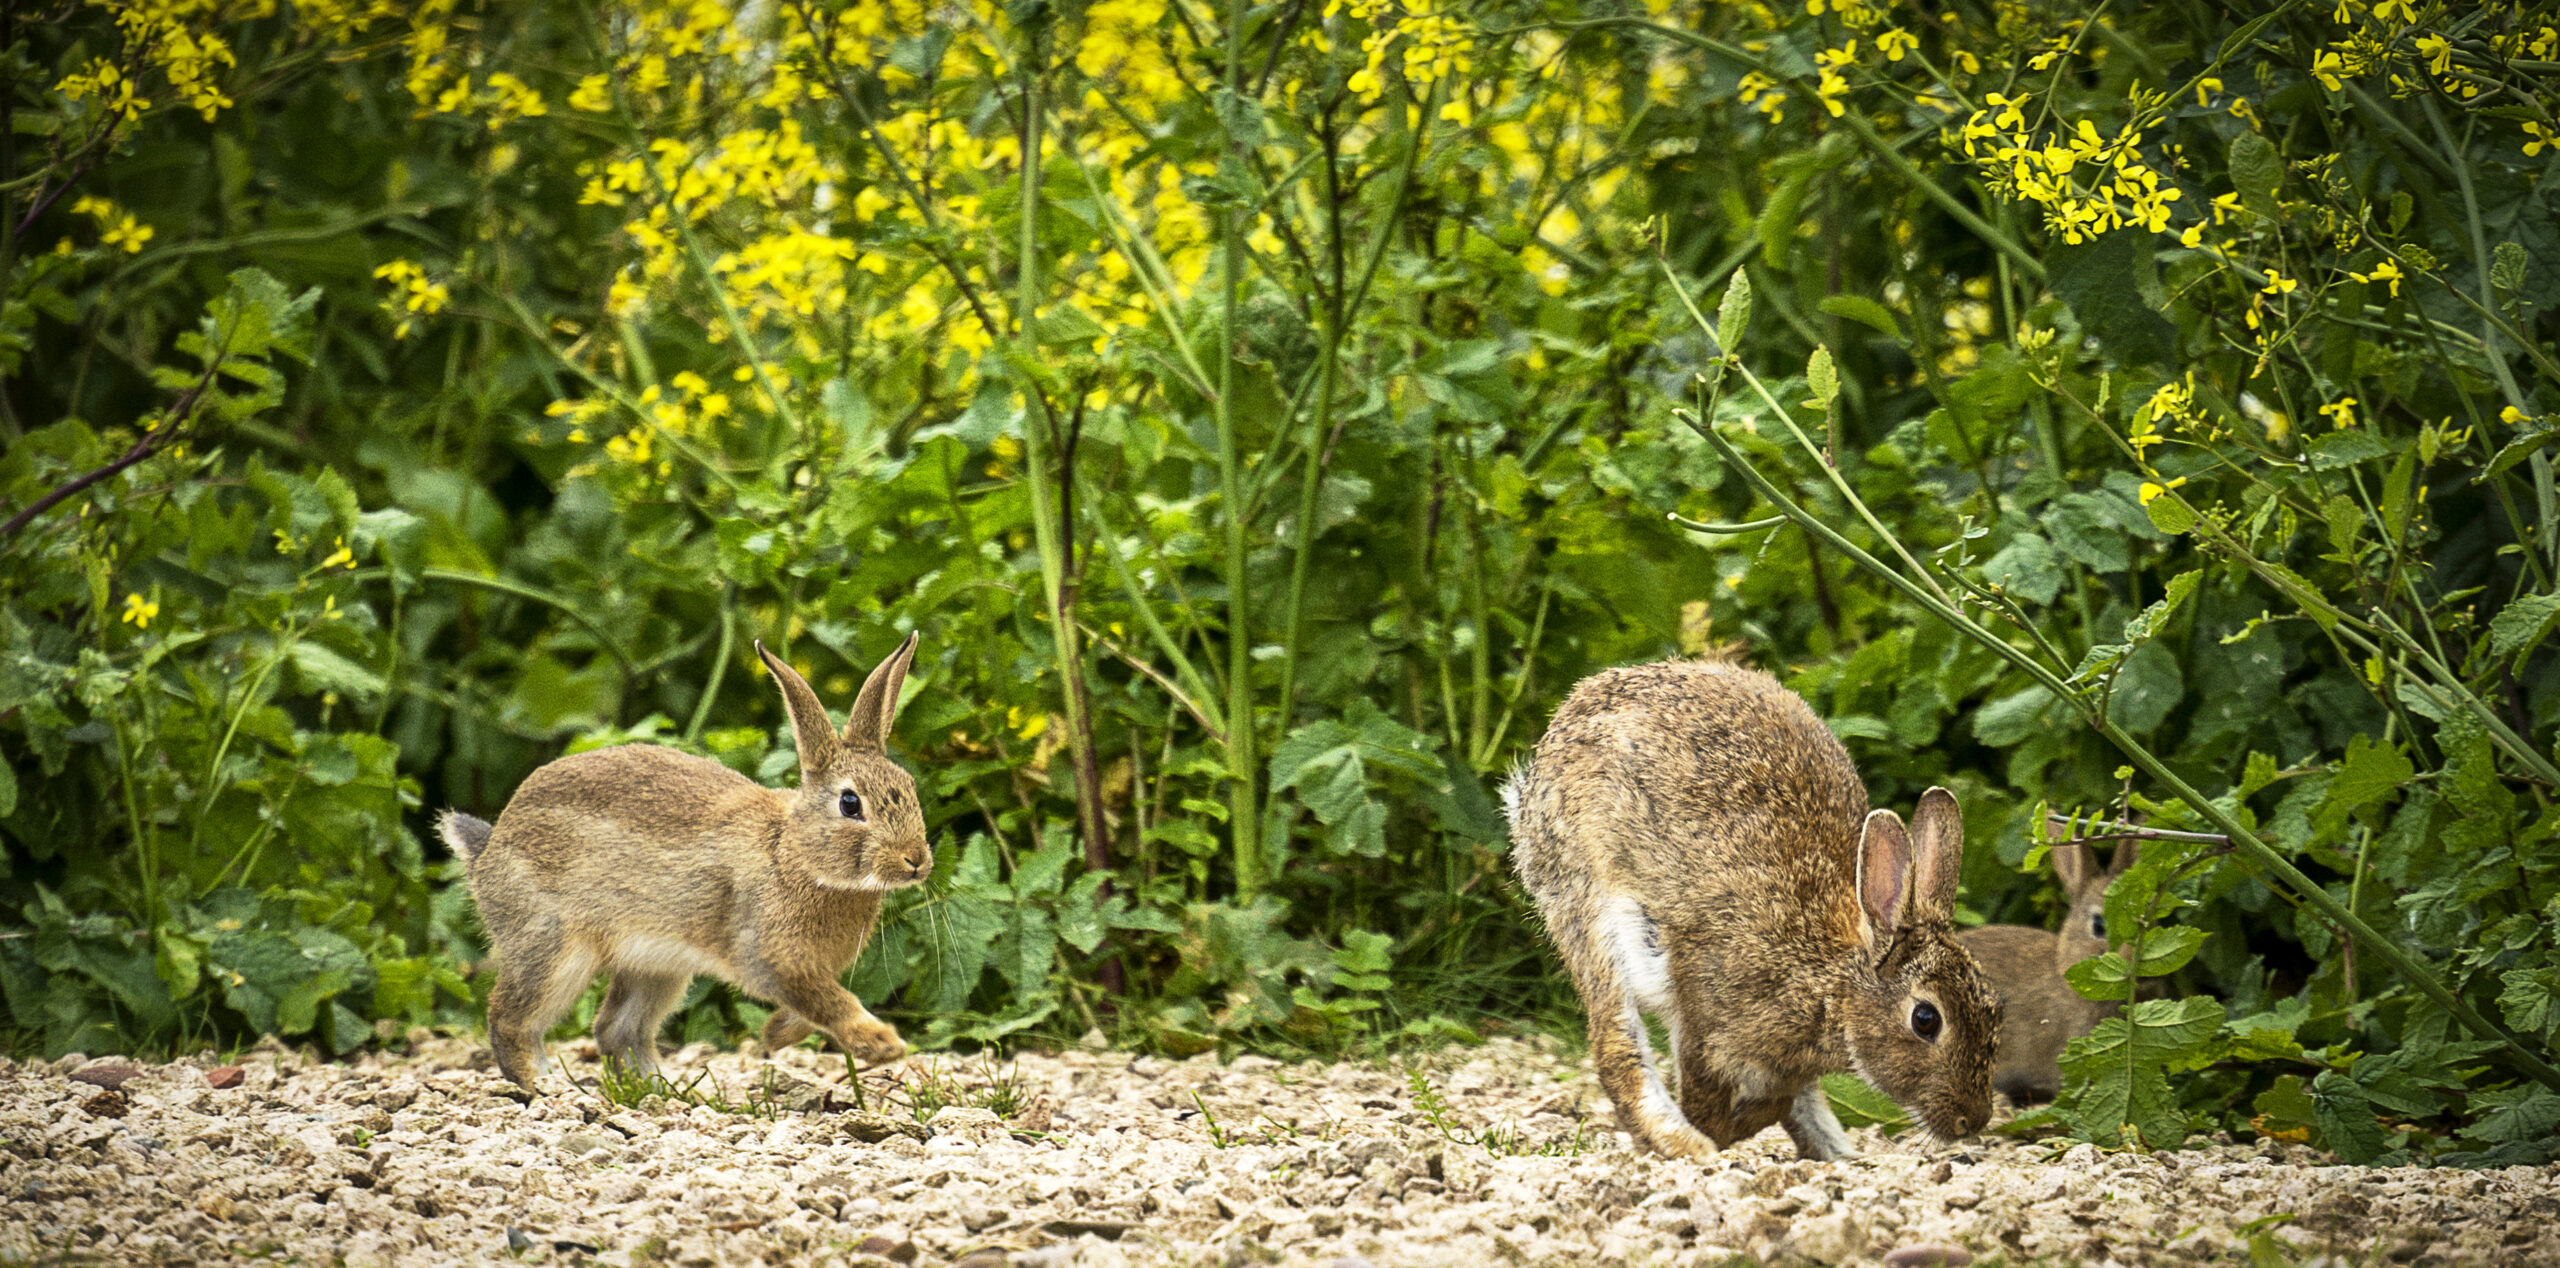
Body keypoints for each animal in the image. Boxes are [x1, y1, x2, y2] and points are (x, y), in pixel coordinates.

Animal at [437, 635, 931, 1091]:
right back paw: (543, 1086)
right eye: (850, 804)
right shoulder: (770, 956)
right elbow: (829, 1001)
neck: (793, 854)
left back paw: (665, 1091)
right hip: (554, 947)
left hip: (657, 967)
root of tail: (488, 851)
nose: (916, 862)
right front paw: (882, 1044)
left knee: (615, 1029)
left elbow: (810, 1010)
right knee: (510, 1017)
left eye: (910, 786)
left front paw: (774, 1035)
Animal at [1495, 660, 1996, 1168]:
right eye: (1926, 1019)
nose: (1973, 1121)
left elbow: (1781, 1100)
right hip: (1589, 901)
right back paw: (1681, 1143)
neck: (1830, 980)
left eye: (1995, 1009)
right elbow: (1708, 1099)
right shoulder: (1708, 1027)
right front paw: (1711, 1139)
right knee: (1615, 1040)